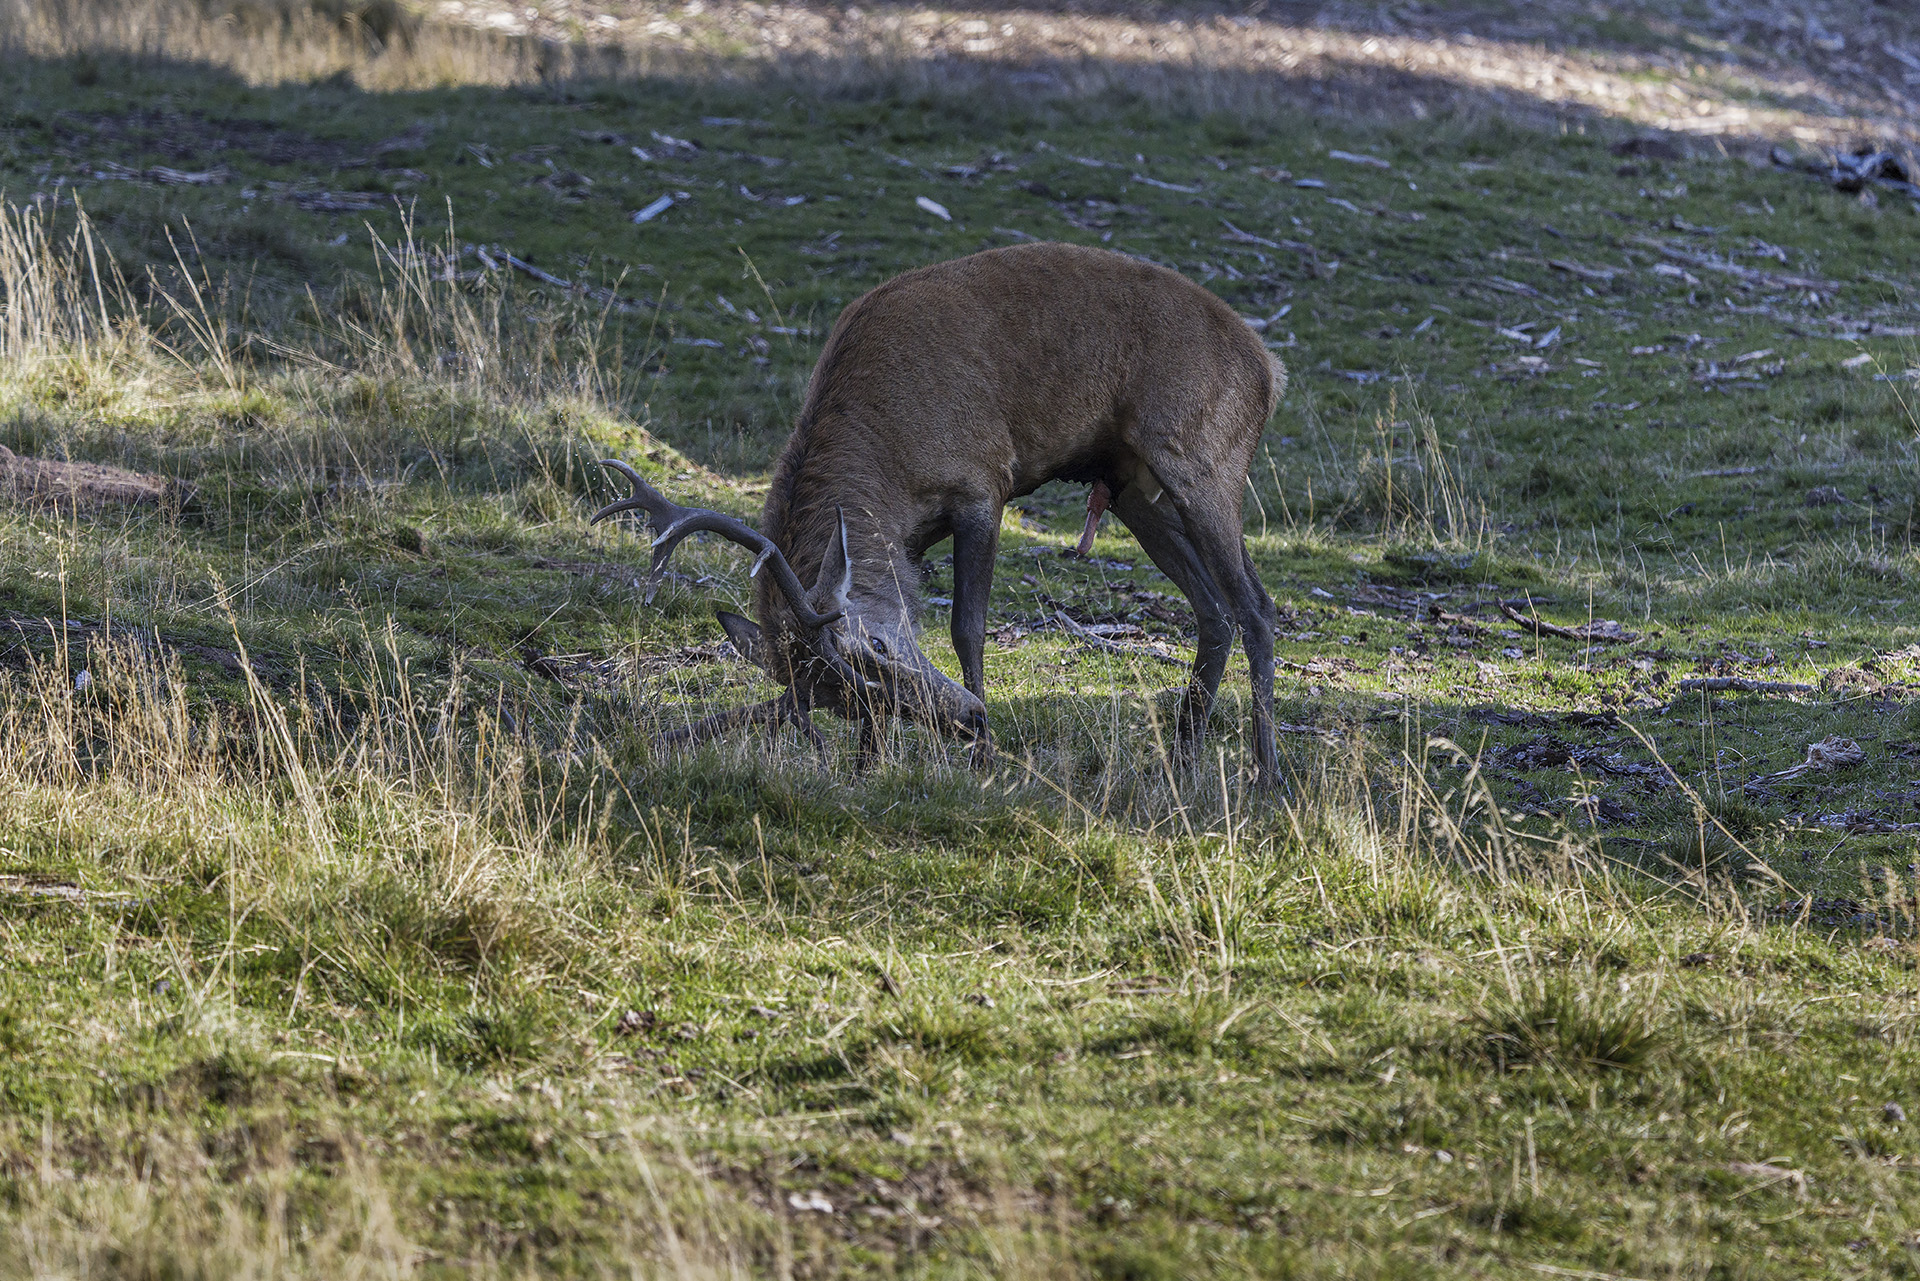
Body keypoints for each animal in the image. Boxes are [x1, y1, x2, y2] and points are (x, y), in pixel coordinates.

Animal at [590, 241, 1288, 784]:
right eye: (845, 701)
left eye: (876, 643)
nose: (968, 719)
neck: (889, 459)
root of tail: (1269, 367)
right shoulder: (908, 537)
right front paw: (866, 766)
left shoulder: (981, 483)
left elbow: (966, 626)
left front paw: (985, 760)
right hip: (1135, 489)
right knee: (1213, 608)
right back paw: (1183, 754)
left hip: (1204, 462)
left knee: (1256, 605)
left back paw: (1266, 769)